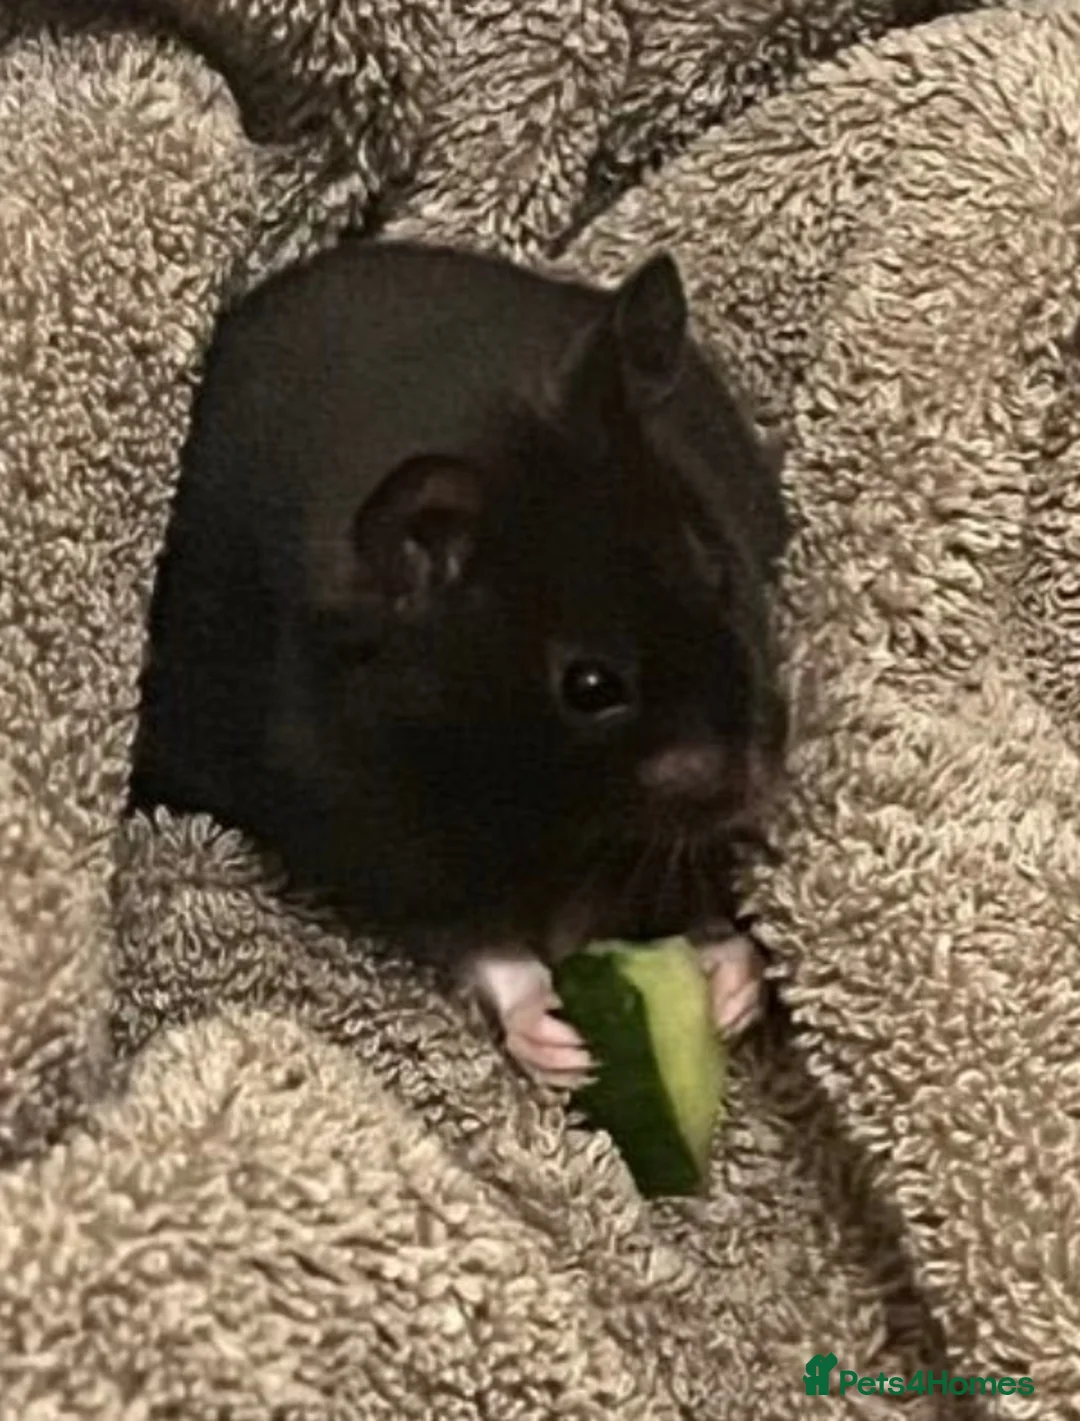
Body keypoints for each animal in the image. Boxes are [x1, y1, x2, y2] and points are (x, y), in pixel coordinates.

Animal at [129, 239, 789, 1084]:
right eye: (590, 686)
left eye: (717, 569)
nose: (759, 787)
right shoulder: (381, 844)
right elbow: (480, 944)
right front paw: (562, 1048)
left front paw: (733, 987)